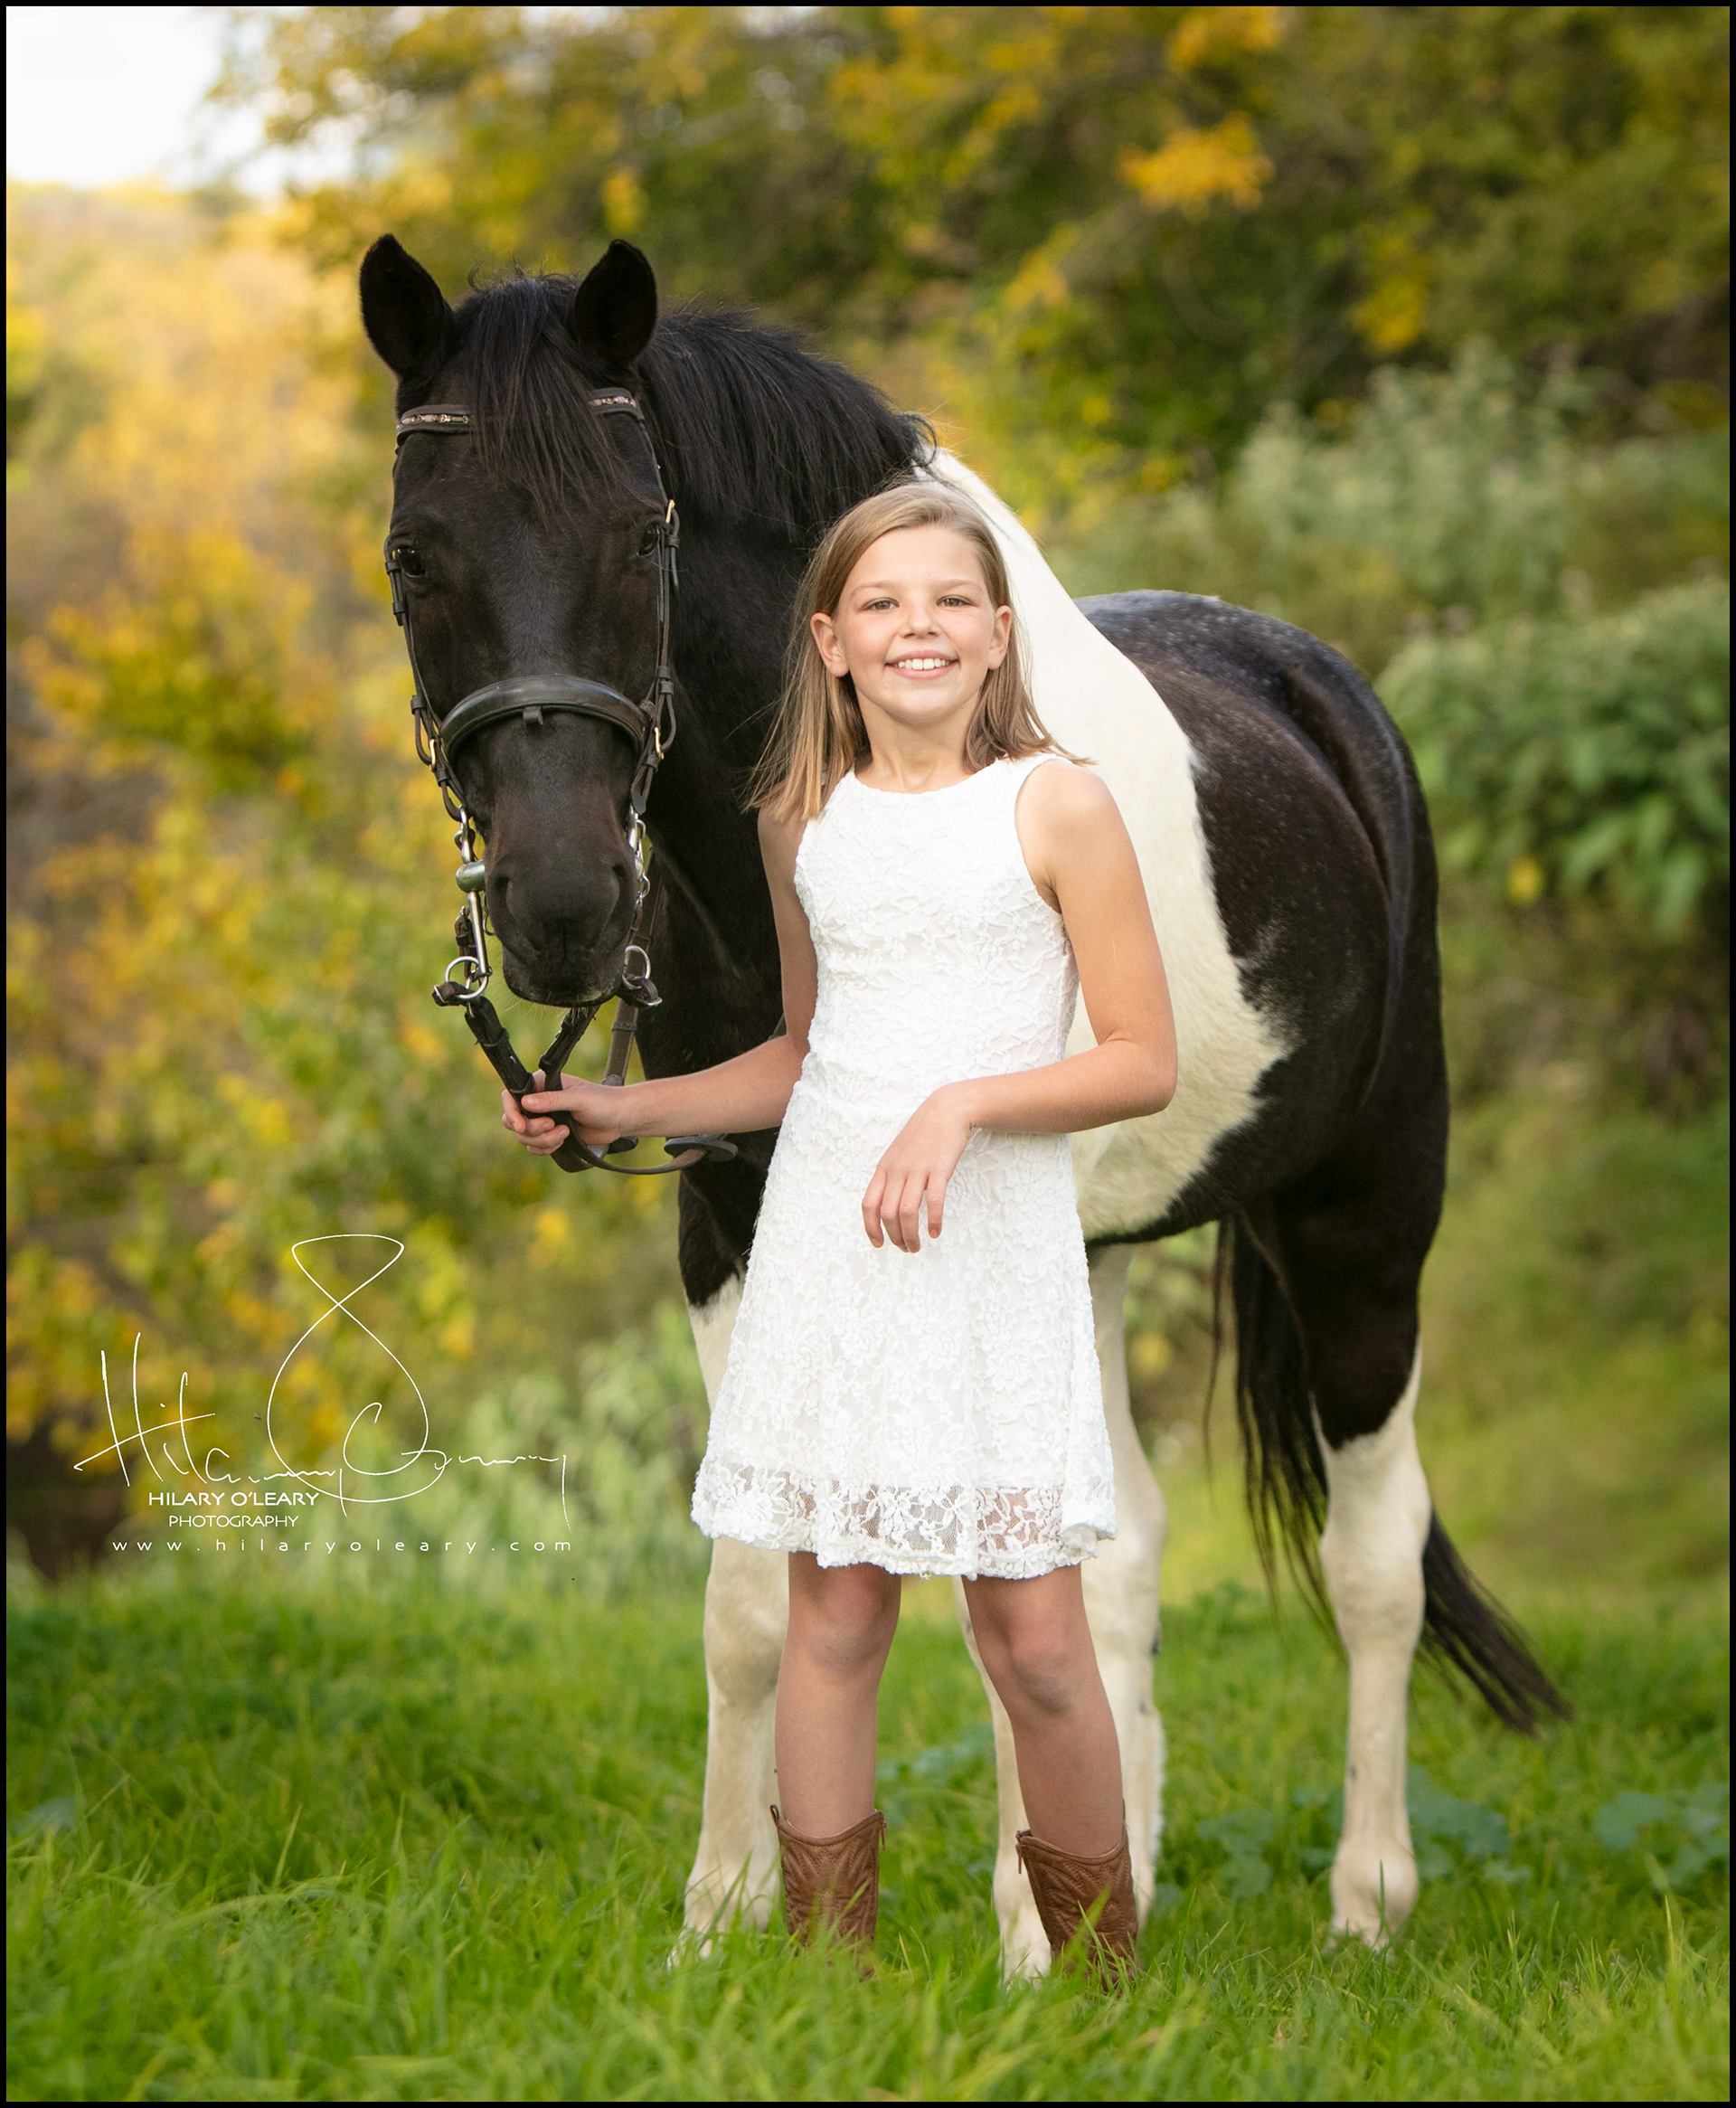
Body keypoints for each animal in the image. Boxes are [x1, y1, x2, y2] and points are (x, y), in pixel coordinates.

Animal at [360, 232, 1568, 1973]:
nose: (565, 906)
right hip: (1104, 1249)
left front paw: (1026, 1948)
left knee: (1372, 1554)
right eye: (414, 556)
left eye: (647, 531)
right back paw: (1129, 1879)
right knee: (1125, 1552)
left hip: (1363, 1217)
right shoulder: (732, 1219)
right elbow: (756, 1586)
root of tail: (1328, 696)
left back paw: (1365, 1903)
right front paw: (725, 1920)